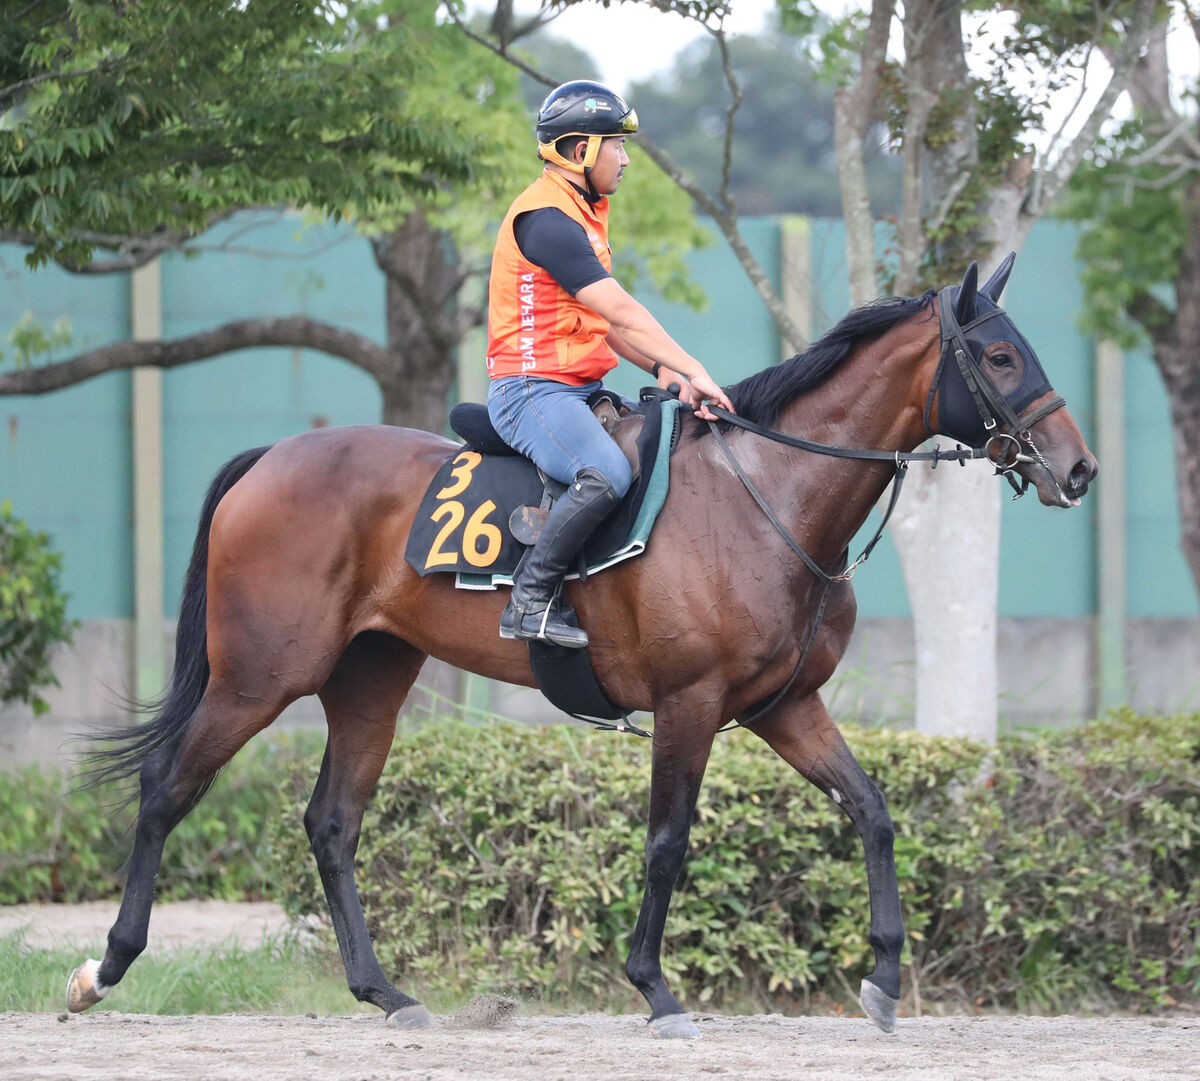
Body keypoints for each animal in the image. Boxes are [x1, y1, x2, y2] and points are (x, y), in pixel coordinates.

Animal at [65, 255, 1099, 1036]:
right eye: (999, 354)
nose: (1080, 468)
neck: (768, 491)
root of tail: (270, 459)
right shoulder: (691, 702)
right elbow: (669, 840)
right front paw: (656, 987)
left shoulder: (785, 708)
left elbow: (874, 811)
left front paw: (883, 975)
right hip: (259, 678)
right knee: (167, 786)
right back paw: (105, 967)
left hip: (369, 681)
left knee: (332, 822)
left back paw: (385, 990)